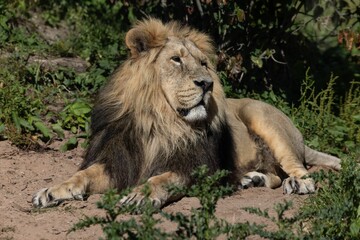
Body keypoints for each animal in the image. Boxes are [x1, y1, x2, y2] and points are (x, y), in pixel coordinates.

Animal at [33, 18, 340, 208]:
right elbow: (81, 176)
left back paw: (297, 184)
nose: (207, 84)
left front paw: (140, 196)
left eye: (203, 63)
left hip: (263, 117)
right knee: (274, 175)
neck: (160, 120)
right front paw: (51, 191)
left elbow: (162, 179)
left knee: (297, 168)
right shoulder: (118, 161)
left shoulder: (191, 167)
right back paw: (252, 178)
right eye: (176, 60)